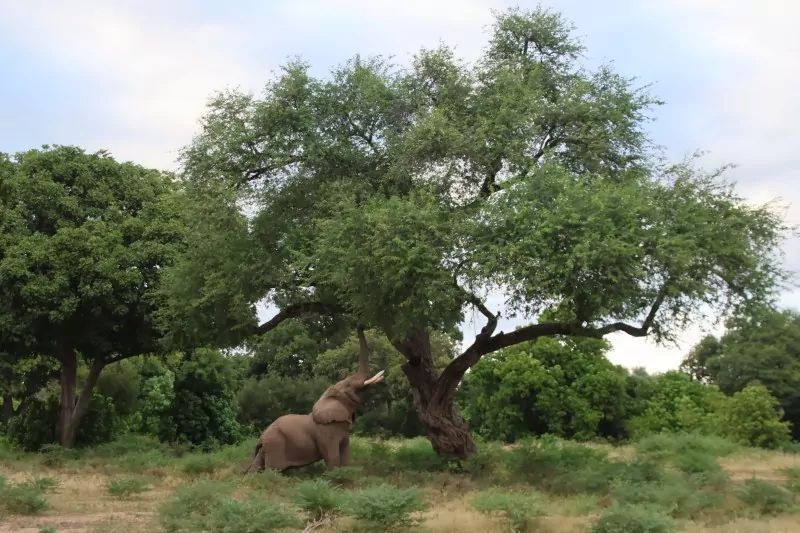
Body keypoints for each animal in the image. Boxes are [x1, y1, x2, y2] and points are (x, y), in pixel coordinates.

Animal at [244, 368, 385, 473]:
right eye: (348, 385)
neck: (327, 396)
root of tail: (261, 439)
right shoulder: (325, 431)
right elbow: (330, 453)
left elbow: (345, 451)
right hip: (275, 444)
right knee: (273, 470)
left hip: (268, 446)